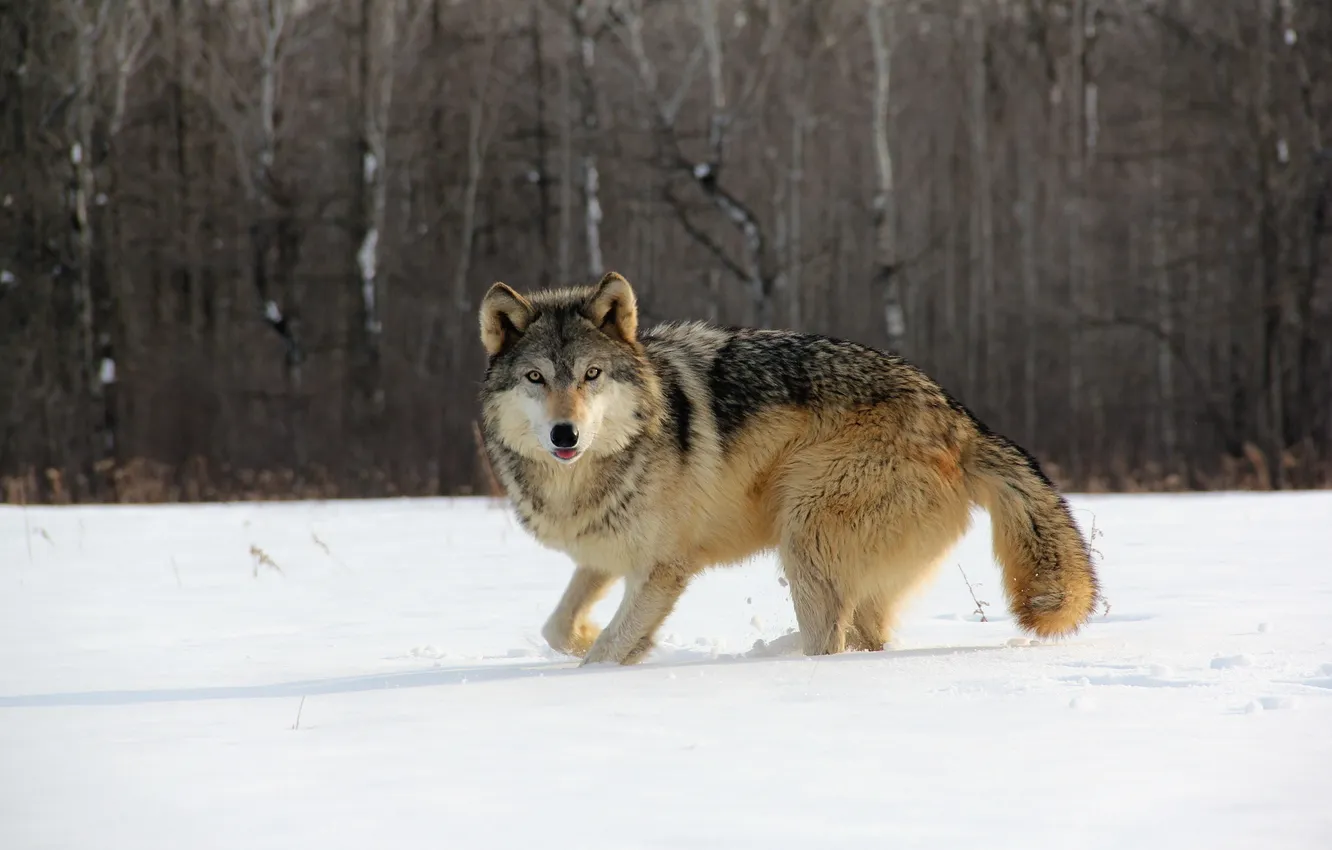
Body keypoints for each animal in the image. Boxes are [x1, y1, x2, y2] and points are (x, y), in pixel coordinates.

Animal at [477, 271, 1099, 666]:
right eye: (535, 378)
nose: (565, 434)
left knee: (829, 642)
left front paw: (599, 665)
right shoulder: (607, 552)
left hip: (805, 535)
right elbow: (557, 626)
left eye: (592, 375)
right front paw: (587, 638)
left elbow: (607, 651)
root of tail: (961, 421)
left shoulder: (663, 568)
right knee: (866, 640)